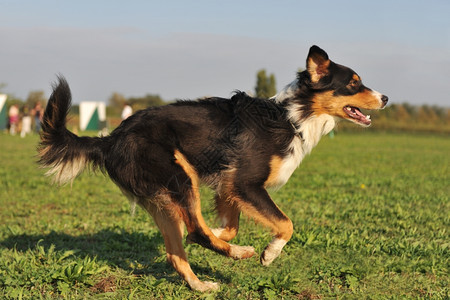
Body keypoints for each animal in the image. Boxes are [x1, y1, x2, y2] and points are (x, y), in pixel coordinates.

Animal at [39, 45, 386, 292]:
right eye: (353, 84)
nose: (385, 97)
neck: (292, 117)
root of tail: (111, 138)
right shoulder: (245, 182)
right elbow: (286, 224)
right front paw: (269, 253)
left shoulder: (228, 184)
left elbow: (230, 225)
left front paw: (223, 234)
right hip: (181, 176)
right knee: (195, 229)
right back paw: (240, 253)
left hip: (164, 198)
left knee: (177, 250)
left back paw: (202, 284)